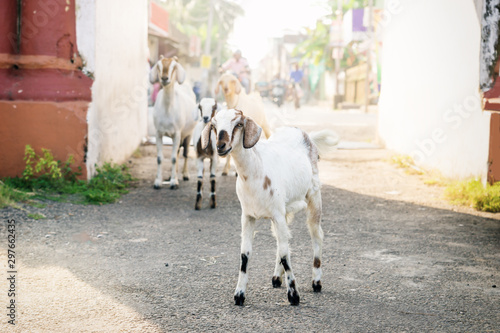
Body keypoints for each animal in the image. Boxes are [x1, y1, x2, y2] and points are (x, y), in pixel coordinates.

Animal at [148, 55, 197, 188]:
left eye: (174, 66)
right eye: (158, 66)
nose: (165, 78)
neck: (167, 109)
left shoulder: (177, 133)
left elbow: (174, 158)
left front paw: (174, 182)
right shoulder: (158, 133)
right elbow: (160, 158)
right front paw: (158, 182)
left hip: (188, 134)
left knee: (185, 153)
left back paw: (184, 175)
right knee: (178, 152)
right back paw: (172, 175)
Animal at [200, 107, 340, 304]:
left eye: (239, 124)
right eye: (214, 126)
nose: (221, 146)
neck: (255, 171)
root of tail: (307, 136)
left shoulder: (277, 214)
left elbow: (285, 254)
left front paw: (294, 295)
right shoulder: (248, 216)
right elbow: (246, 254)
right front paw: (239, 294)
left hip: (314, 196)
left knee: (316, 235)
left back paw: (316, 282)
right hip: (285, 210)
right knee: (283, 241)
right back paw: (276, 278)